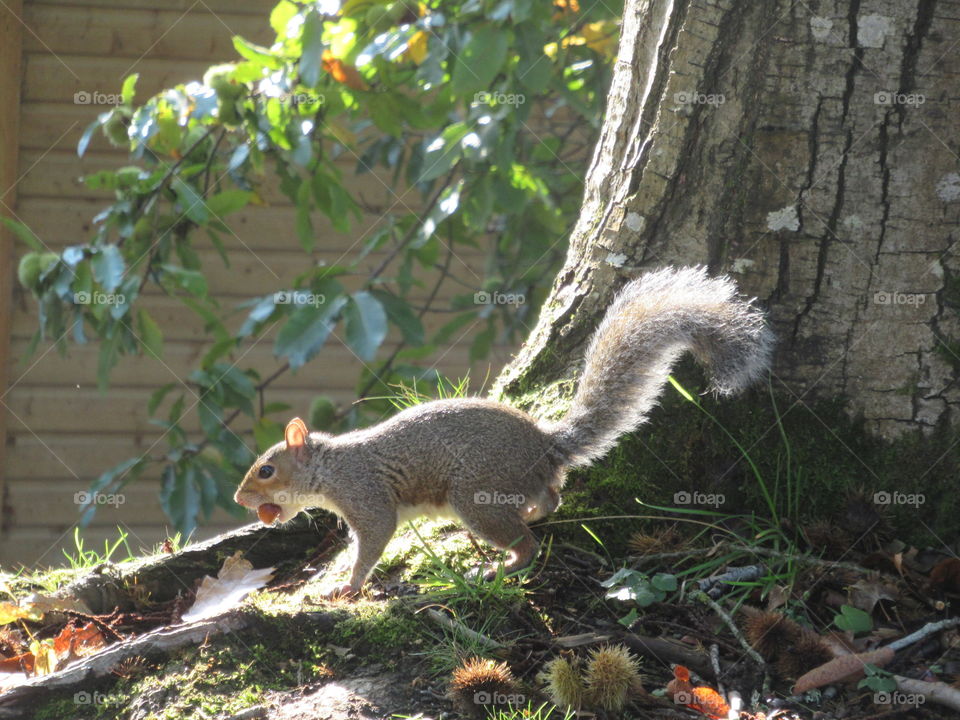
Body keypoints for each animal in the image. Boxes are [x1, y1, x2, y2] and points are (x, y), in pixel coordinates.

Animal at [236, 268, 776, 592]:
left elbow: (373, 538)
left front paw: (348, 586)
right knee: (551, 499)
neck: (331, 466)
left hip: (477, 495)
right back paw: (534, 514)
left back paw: (498, 566)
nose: (241, 500)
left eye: (265, 470)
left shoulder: (366, 494)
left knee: (527, 544)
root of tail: (546, 447)